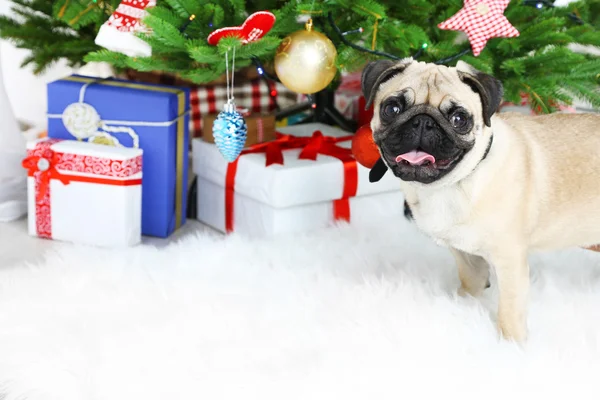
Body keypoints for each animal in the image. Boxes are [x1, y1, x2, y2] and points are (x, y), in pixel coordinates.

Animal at [364, 57, 600, 342]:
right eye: (393, 108)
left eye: (458, 118)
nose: (422, 122)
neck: (449, 186)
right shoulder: (466, 255)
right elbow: (472, 283)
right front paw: (463, 306)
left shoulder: (510, 262)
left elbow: (509, 311)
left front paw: (512, 345)